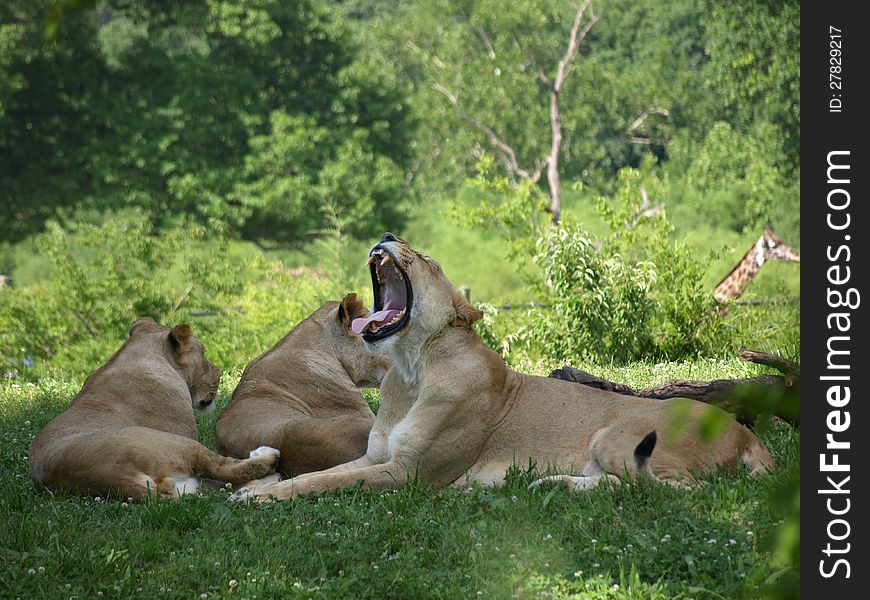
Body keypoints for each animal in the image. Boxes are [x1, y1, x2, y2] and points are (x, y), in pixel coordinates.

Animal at [29, 318, 282, 502]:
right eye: (203, 352)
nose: (219, 372)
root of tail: (115, 478)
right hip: (175, 442)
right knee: (223, 469)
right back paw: (268, 458)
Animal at [233, 234, 776, 502]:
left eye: (424, 256)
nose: (387, 234)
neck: (410, 370)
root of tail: (748, 435)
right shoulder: (374, 457)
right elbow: (323, 472)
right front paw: (257, 486)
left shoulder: (409, 475)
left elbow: (323, 482)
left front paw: (259, 499)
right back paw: (551, 485)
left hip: (618, 435)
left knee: (677, 490)